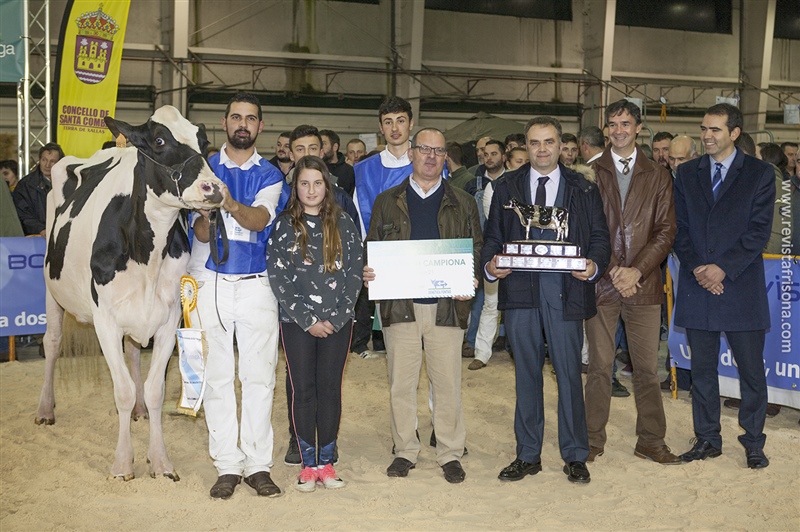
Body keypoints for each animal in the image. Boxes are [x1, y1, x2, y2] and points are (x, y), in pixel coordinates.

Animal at [36, 106, 223, 480]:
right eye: (160, 140)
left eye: (203, 139)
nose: (213, 188)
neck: (146, 256)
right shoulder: (105, 321)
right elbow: (120, 390)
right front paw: (123, 463)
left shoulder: (168, 320)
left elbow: (154, 390)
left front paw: (160, 460)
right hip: (52, 288)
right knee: (52, 342)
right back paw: (46, 408)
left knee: (134, 352)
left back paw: (138, 411)